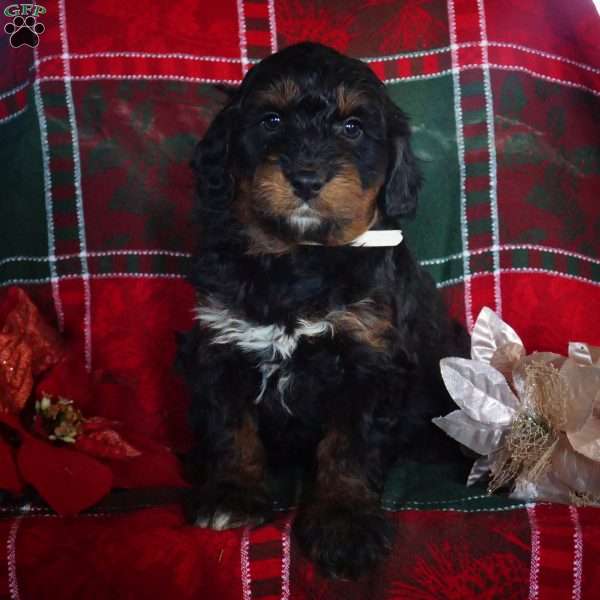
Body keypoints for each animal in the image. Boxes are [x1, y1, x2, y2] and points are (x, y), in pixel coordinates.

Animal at [178, 41, 468, 576]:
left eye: (352, 128)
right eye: (271, 120)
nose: (307, 178)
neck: (299, 256)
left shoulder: (368, 359)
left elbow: (349, 445)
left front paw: (344, 521)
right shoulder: (220, 340)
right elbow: (231, 427)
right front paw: (232, 494)